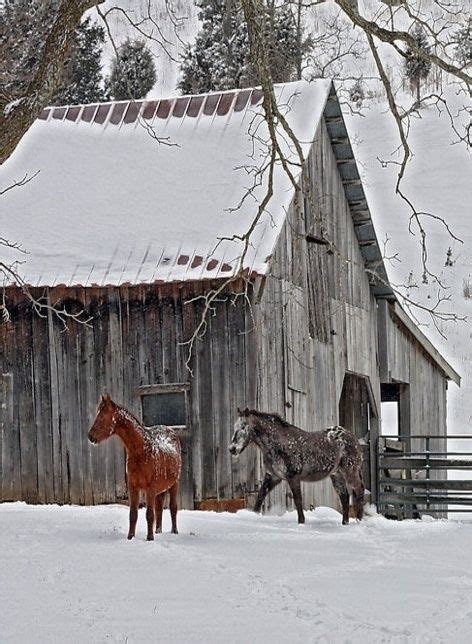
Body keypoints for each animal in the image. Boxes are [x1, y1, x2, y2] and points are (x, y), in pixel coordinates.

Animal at [87, 392, 182, 540]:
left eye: (102, 417)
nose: (90, 437)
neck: (142, 451)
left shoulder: (150, 489)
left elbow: (149, 515)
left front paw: (150, 538)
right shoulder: (133, 488)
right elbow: (133, 514)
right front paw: (130, 537)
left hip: (174, 484)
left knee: (173, 507)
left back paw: (174, 532)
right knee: (159, 508)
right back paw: (158, 531)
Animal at [229, 410, 366, 524]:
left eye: (243, 426)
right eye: (234, 427)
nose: (232, 449)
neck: (279, 444)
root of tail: (353, 438)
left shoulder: (293, 477)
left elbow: (298, 499)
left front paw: (301, 522)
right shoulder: (273, 476)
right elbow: (261, 495)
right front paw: (253, 515)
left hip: (349, 471)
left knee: (359, 490)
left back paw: (359, 520)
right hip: (336, 474)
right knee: (344, 496)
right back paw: (345, 523)